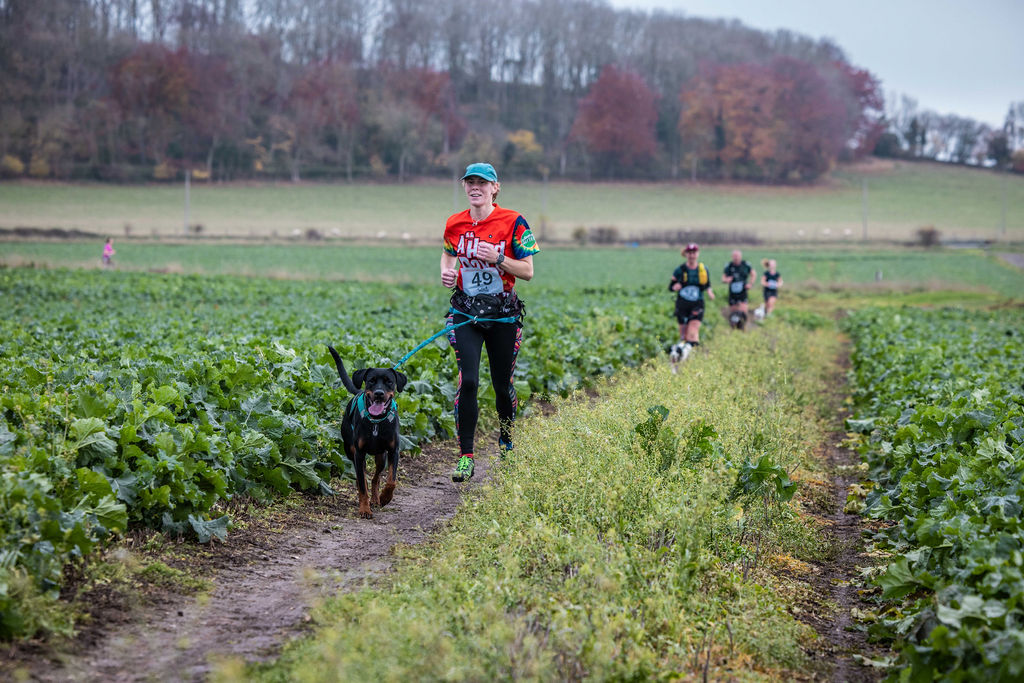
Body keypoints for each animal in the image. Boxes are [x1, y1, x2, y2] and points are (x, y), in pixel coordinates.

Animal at [327, 345, 407, 519]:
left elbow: (391, 481)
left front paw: (385, 498)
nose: (379, 393)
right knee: (361, 479)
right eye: (371, 381)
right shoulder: (359, 453)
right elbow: (362, 484)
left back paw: (376, 499)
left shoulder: (393, 451)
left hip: (381, 456)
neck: (376, 422)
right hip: (351, 451)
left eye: (389, 382)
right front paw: (364, 509)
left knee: (376, 478)